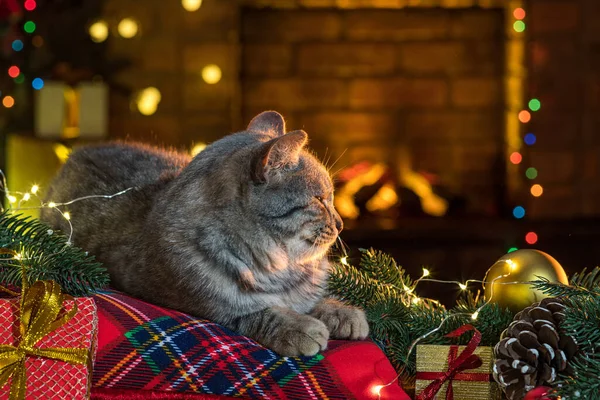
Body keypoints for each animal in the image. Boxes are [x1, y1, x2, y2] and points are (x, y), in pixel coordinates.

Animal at [41, 111, 366, 354]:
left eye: (331, 197)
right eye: (320, 199)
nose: (341, 223)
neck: (279, 266)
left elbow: (315, 298)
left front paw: (342, 311)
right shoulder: (210, 307)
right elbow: (260, 312)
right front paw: (299, 327)